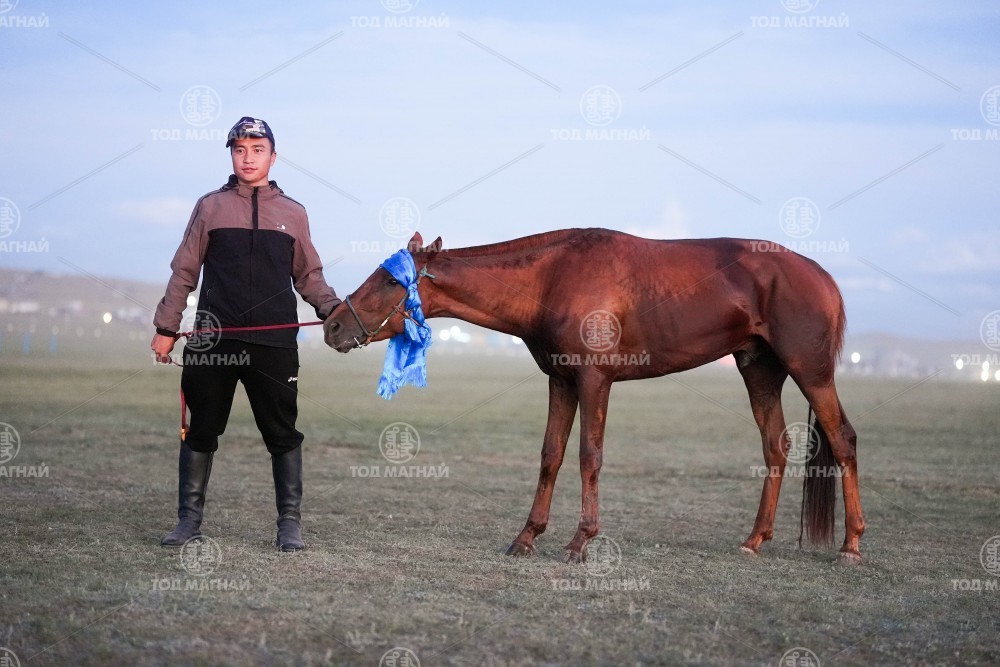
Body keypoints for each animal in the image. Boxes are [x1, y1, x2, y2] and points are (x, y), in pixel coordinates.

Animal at [323, 228, 865, 565]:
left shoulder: (593, 380)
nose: (331, 324)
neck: (553, 277)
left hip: (811, 371)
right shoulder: (561, 381)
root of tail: (820, 275)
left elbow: (589, 455)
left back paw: (851, 546)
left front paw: (580, 541)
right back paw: (755, 540)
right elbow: (551, 455)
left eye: (390, 279)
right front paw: (526, 537)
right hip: (760, 370)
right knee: (776, 445)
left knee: (842, 439)